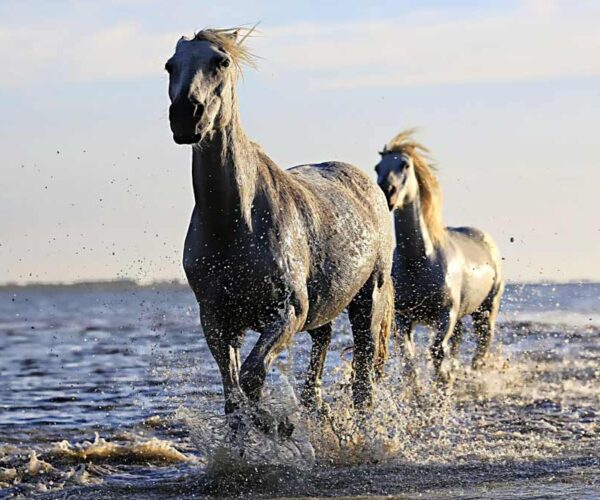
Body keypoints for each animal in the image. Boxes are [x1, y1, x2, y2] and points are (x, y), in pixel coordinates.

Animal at [165, 27, 394, 428]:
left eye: (221, 62)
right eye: (170, 65)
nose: (185, 116)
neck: (235, 223)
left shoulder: (287, 312)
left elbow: (252, 377)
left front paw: (274, 426)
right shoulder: (217, 320)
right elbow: (233, 395)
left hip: (369, 301)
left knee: (364, 379)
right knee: (322, 346)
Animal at [378, 130, 504, 382]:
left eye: (405, 164)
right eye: (378, 167)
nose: (387, 191)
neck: (419, 261)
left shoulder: (445, 315)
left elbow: (437, 352)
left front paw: (442, 384)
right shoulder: (403, 317)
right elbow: (409, 358)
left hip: (486, 310)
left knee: (481, 345)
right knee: (458, 341)